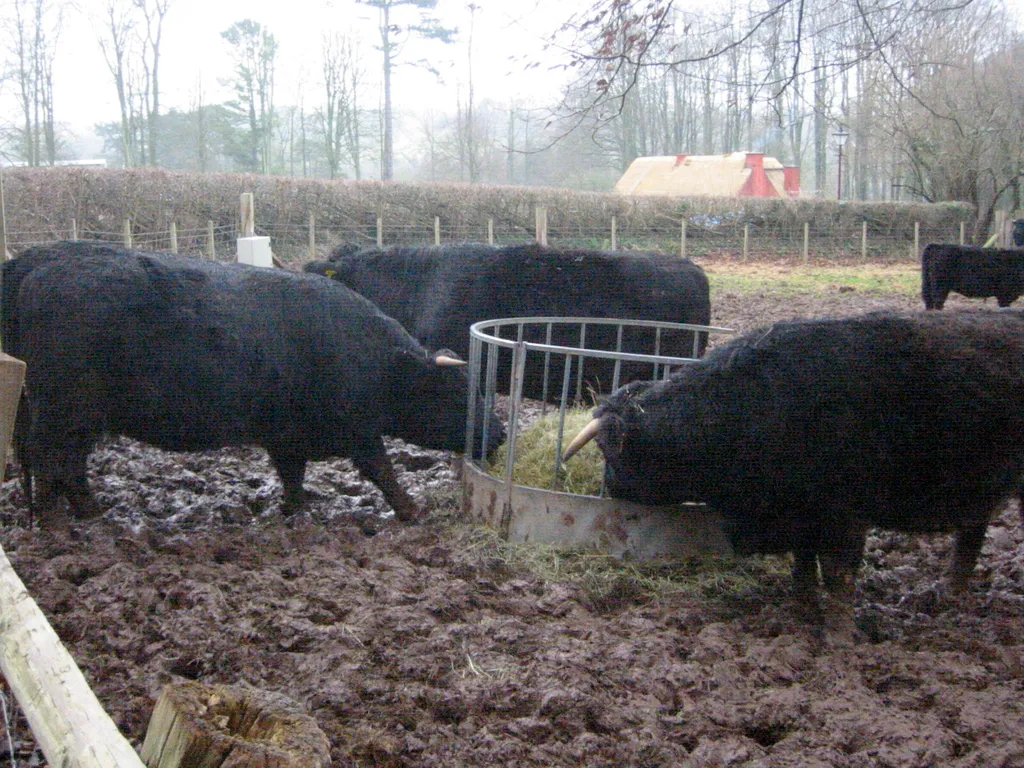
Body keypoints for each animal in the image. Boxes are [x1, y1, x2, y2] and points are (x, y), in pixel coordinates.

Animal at [1, 241, 505, 524]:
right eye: (460, 392)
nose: (499, 433)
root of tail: (37, 259)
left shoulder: (287, 433)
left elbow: (292, 474)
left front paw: (294, 512)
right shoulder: (358, 429)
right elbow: (382, 469)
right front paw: (411, 511)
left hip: (72, 416)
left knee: (67, 466)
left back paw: (86, 513)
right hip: (62, 411)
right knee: (51, 464)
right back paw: (62, 523)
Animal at [563, 311, 1024, 634]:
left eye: (609, 452)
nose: (611, 485)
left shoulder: (843, 517)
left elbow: (838, 575)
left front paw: (839, 636)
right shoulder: (801, 516)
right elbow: (804, 566)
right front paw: (800, 610)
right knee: (970, 538)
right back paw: (950, 594)